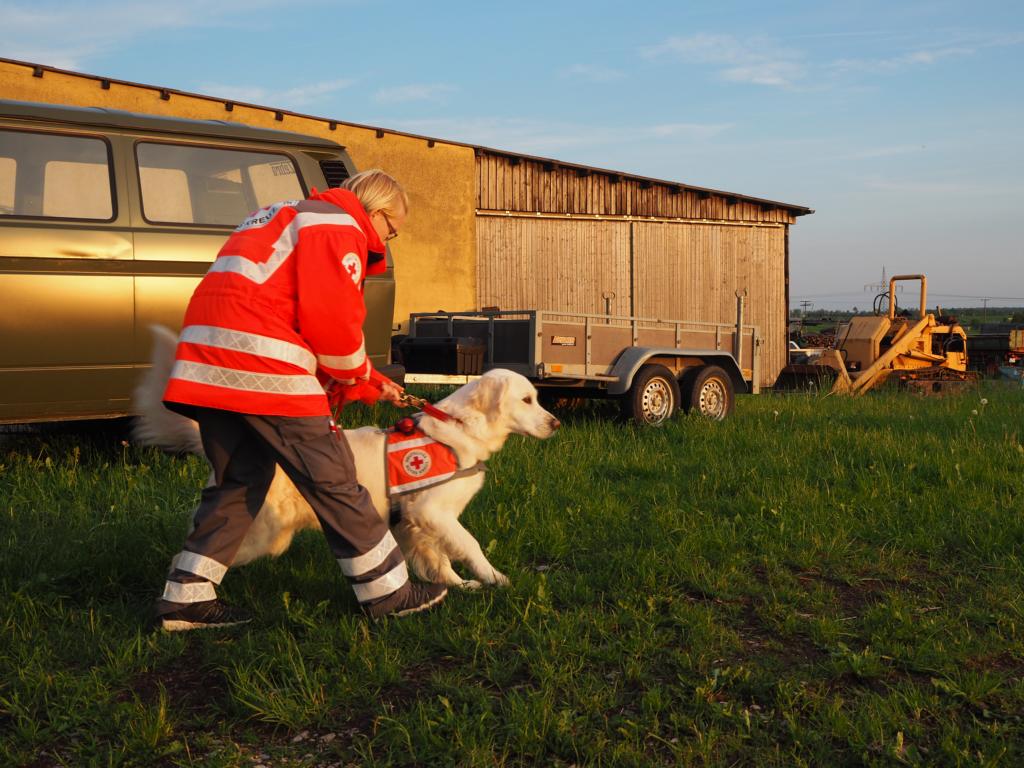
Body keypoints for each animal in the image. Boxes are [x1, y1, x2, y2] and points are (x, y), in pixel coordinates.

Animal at [133, 326, 560, 588]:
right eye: (527, 399)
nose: (556, 424)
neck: (459, 430)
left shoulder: (419, 522)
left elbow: (439, 558)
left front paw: (459, 585)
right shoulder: (431, 512)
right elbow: (469, 545)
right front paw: (494, 578)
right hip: (262, 536)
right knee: (186, 557)